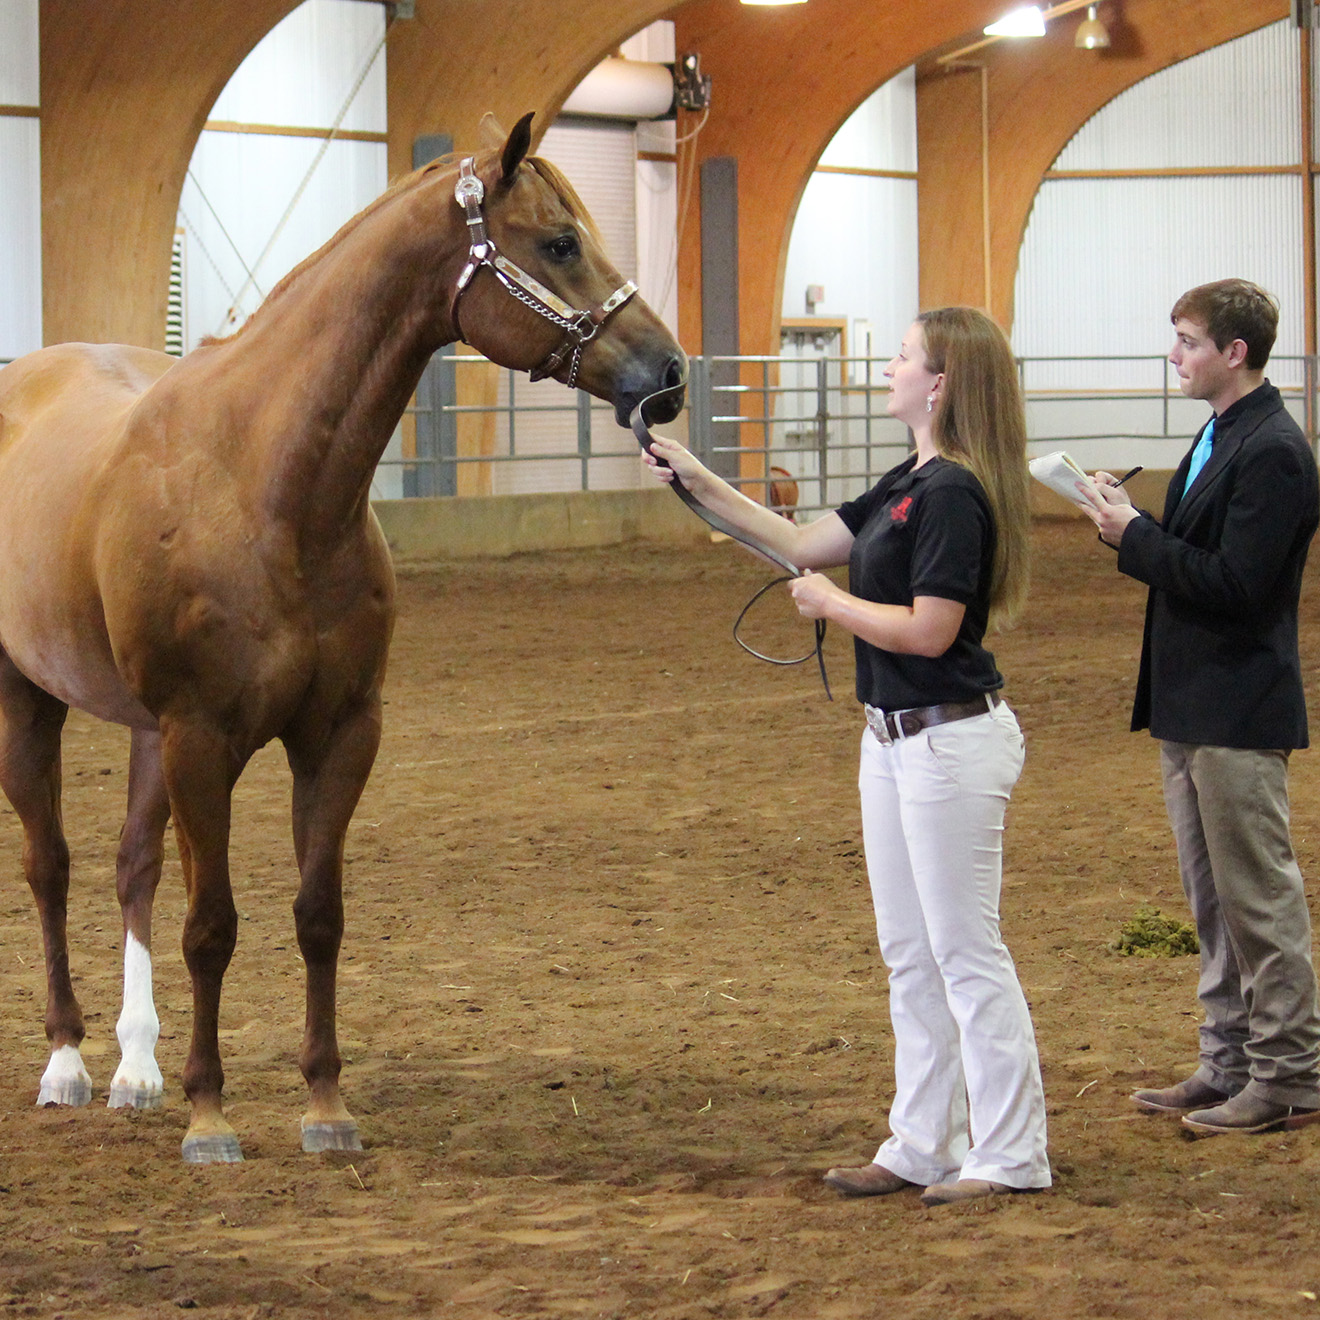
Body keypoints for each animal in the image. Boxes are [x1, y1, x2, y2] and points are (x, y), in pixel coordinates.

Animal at [0, 116, 686, 1166]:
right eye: (561, 243)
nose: (671, 373)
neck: (263, 485)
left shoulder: (338, 732)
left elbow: (318, 916)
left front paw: (324, 1106)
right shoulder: (202, 737)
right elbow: (212, 926)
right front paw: (211, 1117)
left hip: (145, 732)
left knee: (130, 868)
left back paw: (137, 1071)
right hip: (28, 699)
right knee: (52, 869)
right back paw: (70, 1063)